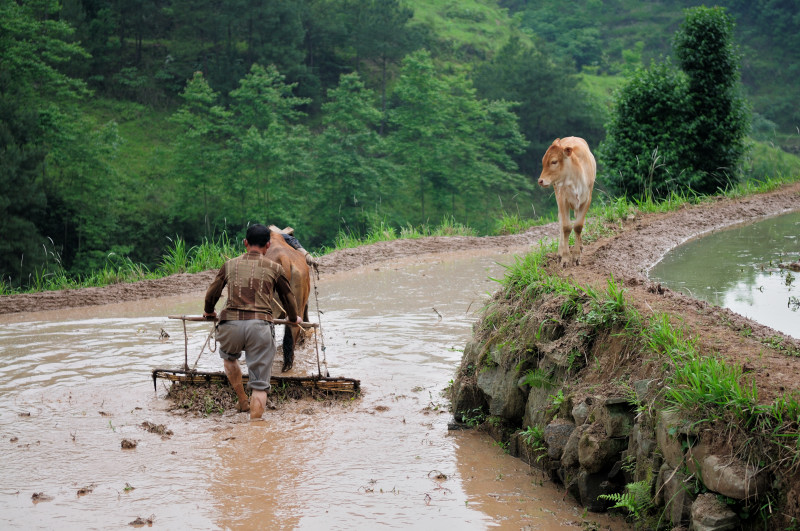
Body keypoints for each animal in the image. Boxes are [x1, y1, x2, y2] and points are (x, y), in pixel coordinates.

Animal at [536, 137, 592, 268]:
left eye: (554, 161)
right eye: (543, 161)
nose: (540, 181)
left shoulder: (587, 199)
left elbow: (578, 226)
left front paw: (576, 256)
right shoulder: (563, 199)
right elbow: (566, 227)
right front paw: (565, 258)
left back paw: (580, 246)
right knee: (561, 222)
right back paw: (560, 253)